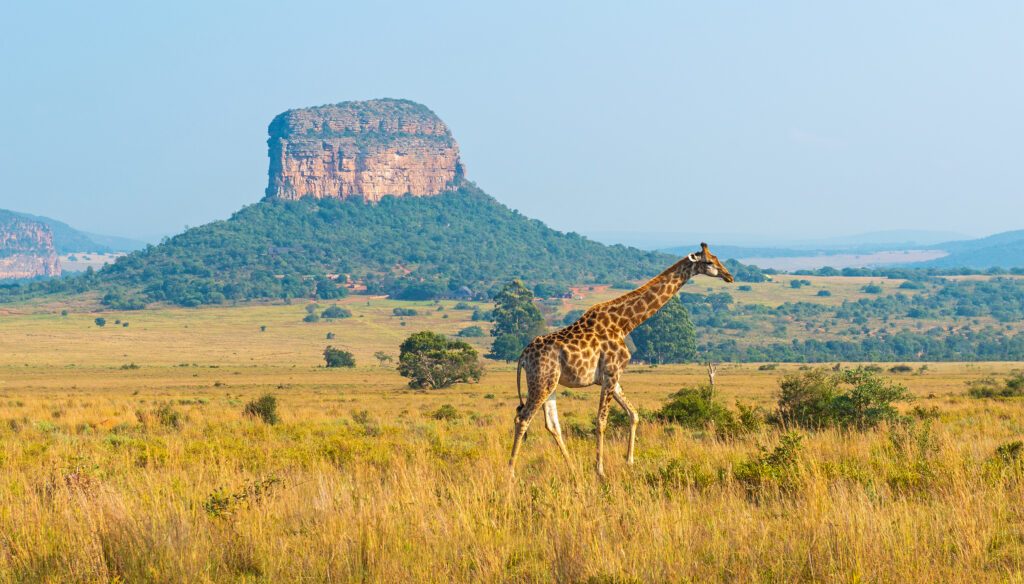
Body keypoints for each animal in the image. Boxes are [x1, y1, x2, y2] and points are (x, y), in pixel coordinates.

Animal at [505, 240, 733, 473]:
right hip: (541, 381)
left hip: (550, 383)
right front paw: (600, 469)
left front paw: (629, 460)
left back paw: (573, 468)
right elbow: (601, 421)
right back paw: (511, 471)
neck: (624, 324)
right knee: (522, 419)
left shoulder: (612, 377)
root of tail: (523, 356)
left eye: (716, 258)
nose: (729, 276)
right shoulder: (611, 373)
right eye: (709, 262)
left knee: (552, 424)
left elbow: (633, 414)